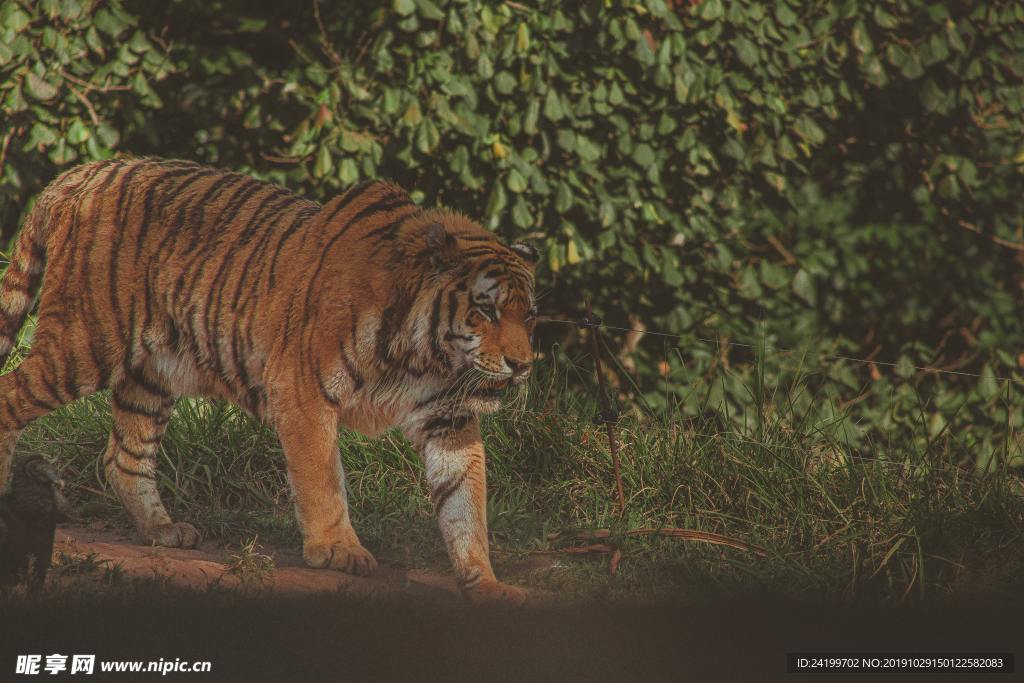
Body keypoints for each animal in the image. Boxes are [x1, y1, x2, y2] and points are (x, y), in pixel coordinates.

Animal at [0, 157, 538, 603]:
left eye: (528, 314)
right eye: (486, 309)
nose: (523, 364)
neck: (424, 356)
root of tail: (82, 172)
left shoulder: (449, 419)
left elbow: (465, 504)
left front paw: (486, 584)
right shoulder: (303, 391)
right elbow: (322, 479)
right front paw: (338, 550)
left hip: (151, 374)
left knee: (124, 456)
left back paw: (163, 530)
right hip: (85, 343)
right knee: (11, 395)